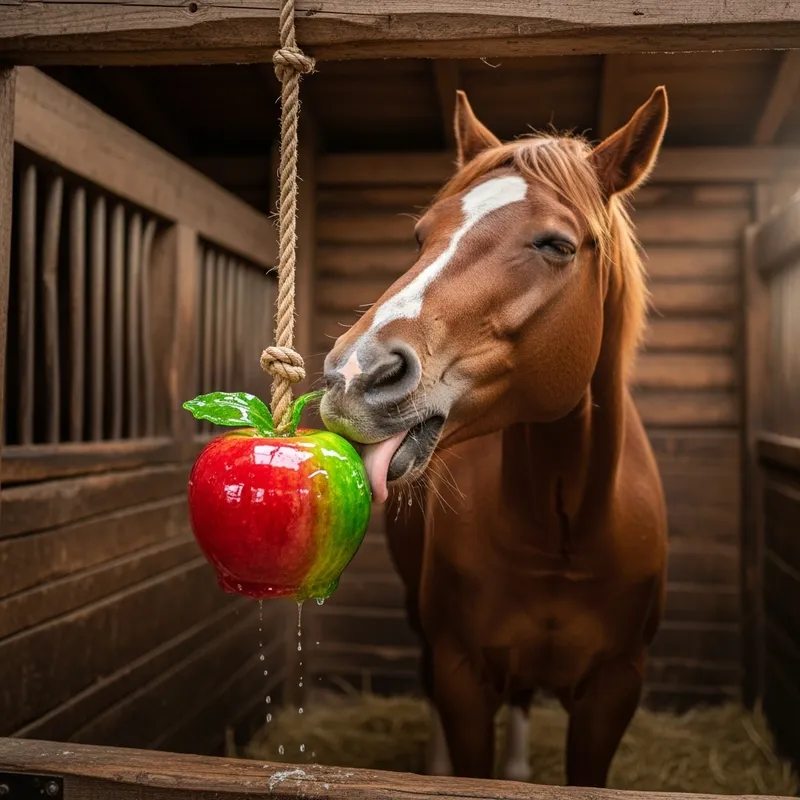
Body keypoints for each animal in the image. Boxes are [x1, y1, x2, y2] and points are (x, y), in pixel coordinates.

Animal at [319, 86, 670, 788]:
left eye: (557, 246)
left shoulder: (616, 689)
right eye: (420, 237)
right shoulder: (462, 673)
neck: (561, 534)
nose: (354, 375)